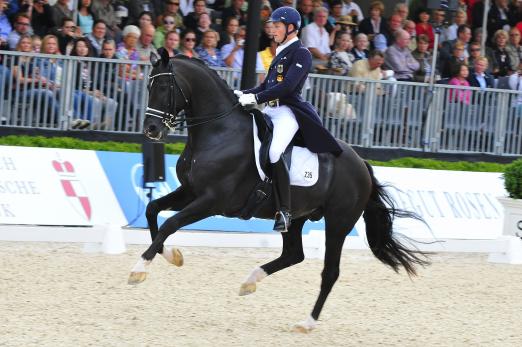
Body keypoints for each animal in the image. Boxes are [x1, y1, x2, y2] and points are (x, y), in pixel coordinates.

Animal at [130, 51, 426, 332]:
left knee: (329, 271)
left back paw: (307, 323)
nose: (151, 130)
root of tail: (361, 163)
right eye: (148, 85)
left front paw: (139, 269)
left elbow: (170, 223)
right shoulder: (191, 191)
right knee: (294, 254)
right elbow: (153, 210)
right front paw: (171, 256)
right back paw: (250, 282)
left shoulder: (211, 200)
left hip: (338, 222)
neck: (219, 131)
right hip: (296, 217)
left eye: (164, 87)